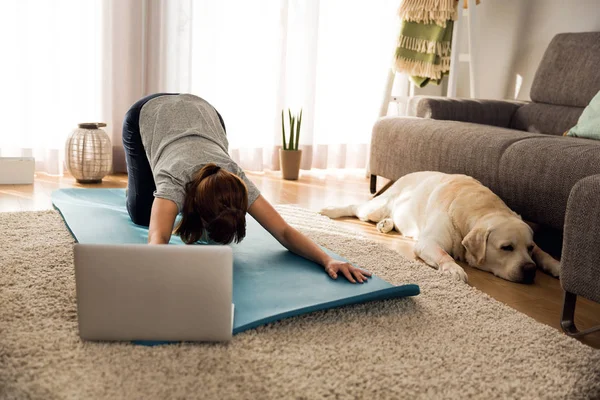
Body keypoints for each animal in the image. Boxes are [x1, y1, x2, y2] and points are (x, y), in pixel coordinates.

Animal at [322, 172, 560, 284]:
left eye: (528, 248)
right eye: (506, 247)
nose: (530, 270)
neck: (480, 208)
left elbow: (543, 252)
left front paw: (556, 265)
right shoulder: (429, 242)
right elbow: (444, 254)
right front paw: (454, 269)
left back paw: (386, 225)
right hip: (376, 207)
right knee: (356, 208)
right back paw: (329, 210)